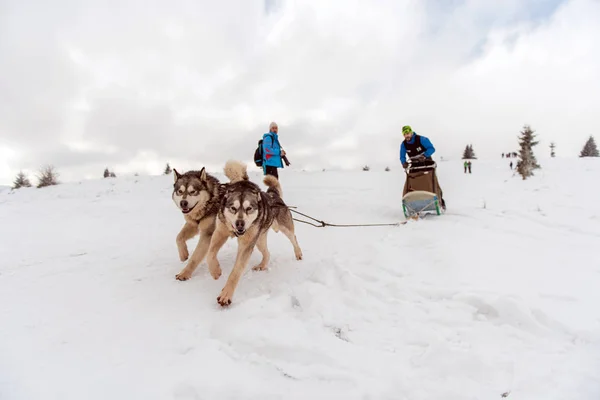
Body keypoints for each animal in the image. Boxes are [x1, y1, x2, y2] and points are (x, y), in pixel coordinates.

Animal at [206, 159, 302, 306]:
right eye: (233, 208)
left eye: (249, 208)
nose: (240, 224)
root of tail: (274, 195)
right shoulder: (220, 233)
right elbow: (210, 254)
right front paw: (215, 271)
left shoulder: (246, 245)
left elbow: (236, 271)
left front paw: (226, 294)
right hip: (259, 241)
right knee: (267, 253)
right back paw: (262, 265)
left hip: (285, 229)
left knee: (294, 238)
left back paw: (298, 254)